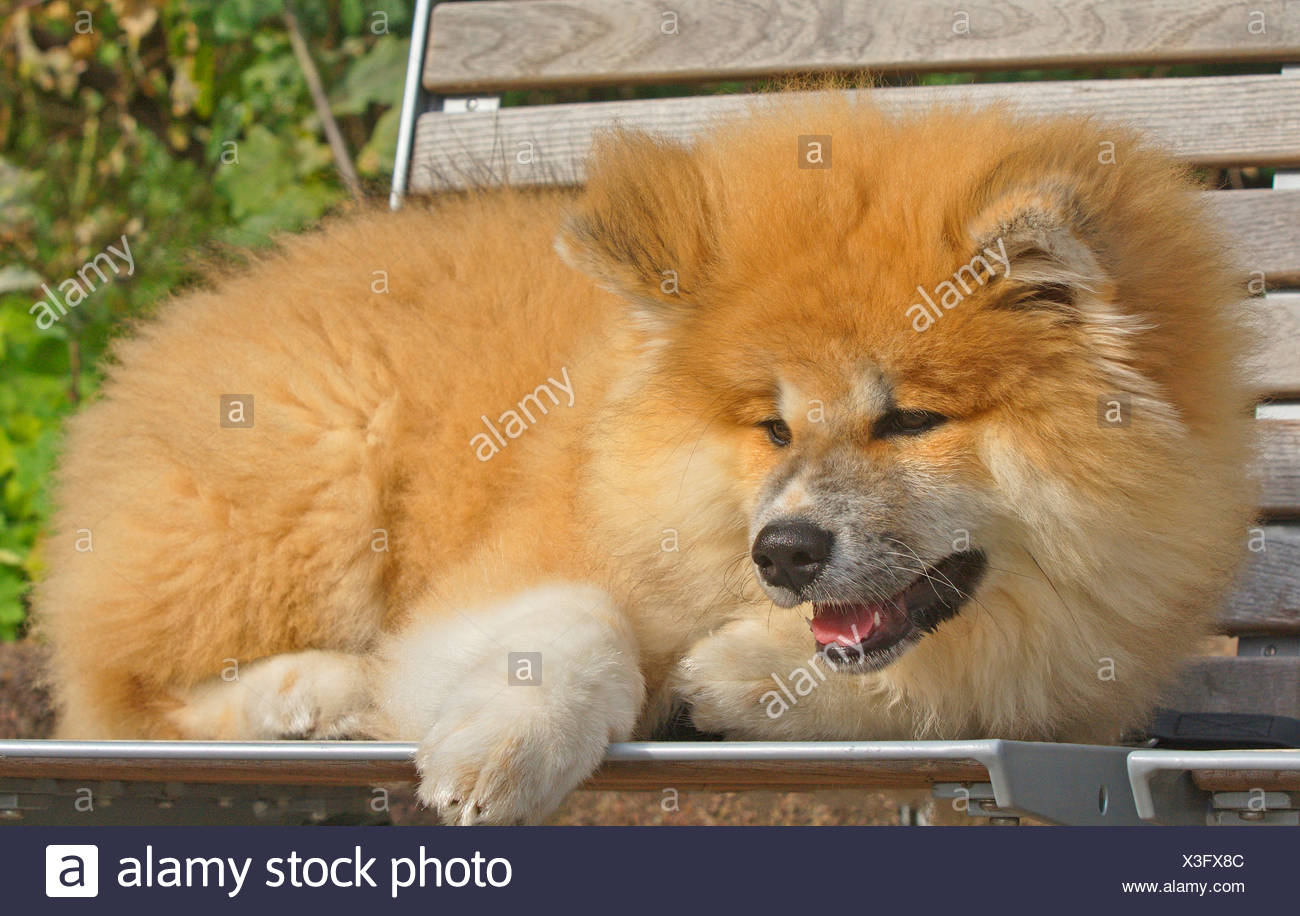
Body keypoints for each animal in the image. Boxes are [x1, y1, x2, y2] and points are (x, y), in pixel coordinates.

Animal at [38, 92, 1258, 821]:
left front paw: (739, 675)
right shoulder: (515, 563)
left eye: (909, 420)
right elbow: (576, 630)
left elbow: (931, 684)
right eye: (770, 425)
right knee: (118, 699)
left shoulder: (1076, 664)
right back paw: (315, 691)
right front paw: (500, 750)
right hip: (320, 472)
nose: (785, 551)